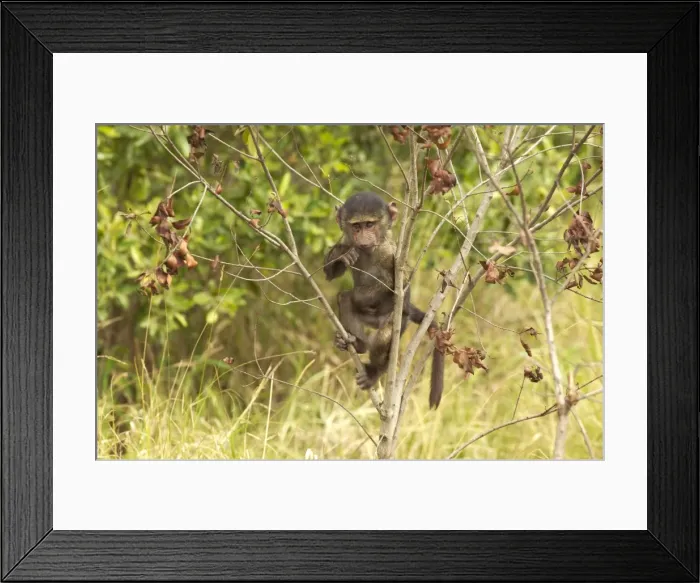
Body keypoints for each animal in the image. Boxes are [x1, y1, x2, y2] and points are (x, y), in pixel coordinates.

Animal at [323, 191, 445, 409]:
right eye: (357, 226)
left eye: (370, 224)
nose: (364, 237)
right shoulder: (347, 240)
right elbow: (330, 273)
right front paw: (341, 257)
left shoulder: (391, 254)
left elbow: (396, 287)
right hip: (368, 320)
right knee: (345, 299)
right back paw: (358, 344)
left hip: (396, 320)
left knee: (385, 333)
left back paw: (374, 371)